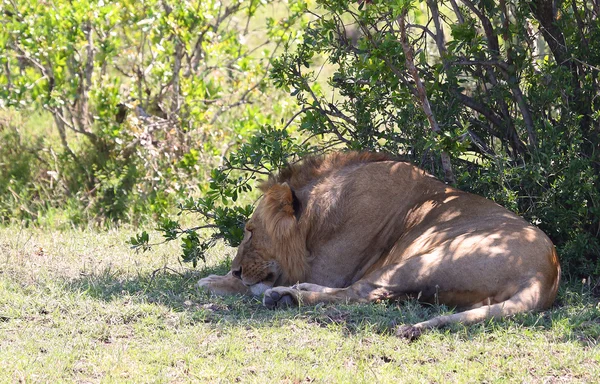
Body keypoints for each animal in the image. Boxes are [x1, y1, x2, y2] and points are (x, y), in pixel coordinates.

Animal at [199, 152, 560, 338]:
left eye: (249, 231)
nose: (236, 268)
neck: (317, 218)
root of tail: (544, 275)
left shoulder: (330, 269)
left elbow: (253, 285)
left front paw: (216, 281)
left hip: (425, 259)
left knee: (361, 293)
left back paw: (285, 296)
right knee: (376, 295)